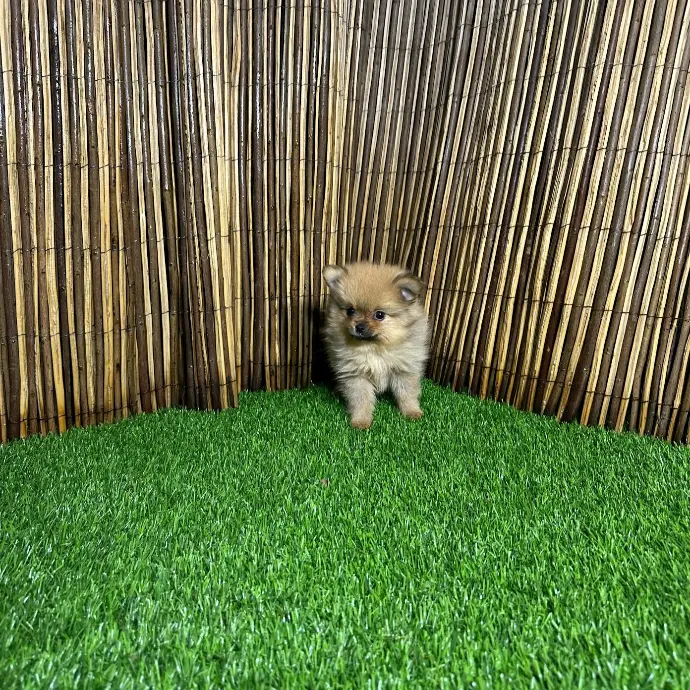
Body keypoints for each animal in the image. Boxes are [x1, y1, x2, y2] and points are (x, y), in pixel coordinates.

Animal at [322, 261, 429, 429]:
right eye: (350, 311)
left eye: (379, 315)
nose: (359, 326)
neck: (374, 348)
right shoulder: (355, 374)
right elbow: (361, 400)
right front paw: (361, 420)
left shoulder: (404, 369)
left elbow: (407, 393)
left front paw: (412, 412)